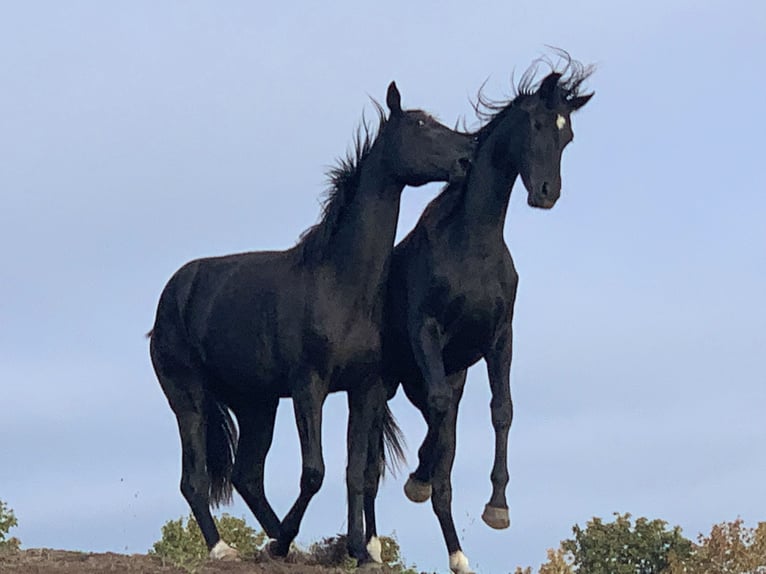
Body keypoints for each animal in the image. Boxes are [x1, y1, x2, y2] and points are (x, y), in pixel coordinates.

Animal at [148, 82, 474, 568]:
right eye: (419, 124)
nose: (467, 157)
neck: (341, 283)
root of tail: (169, 299)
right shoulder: (309, 387)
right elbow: (314, 472)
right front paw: (291, 543)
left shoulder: (364, 388)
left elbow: (354, 471)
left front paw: (358, 550)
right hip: (189, 400)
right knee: (195, 480)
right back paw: (227, 548)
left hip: (257, 405)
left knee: (247, 476)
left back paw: (281, 543)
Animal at [368, 63, 596, 574]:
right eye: (537, 124)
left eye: (568, 135)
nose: (547, 194)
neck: (472, 247)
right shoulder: (427, 333)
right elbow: (440, 421)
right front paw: (423, 480)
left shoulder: (498, 340)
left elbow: (501, 410)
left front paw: (498, 507)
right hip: (384, 382)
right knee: (370, 458)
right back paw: (371, 542)